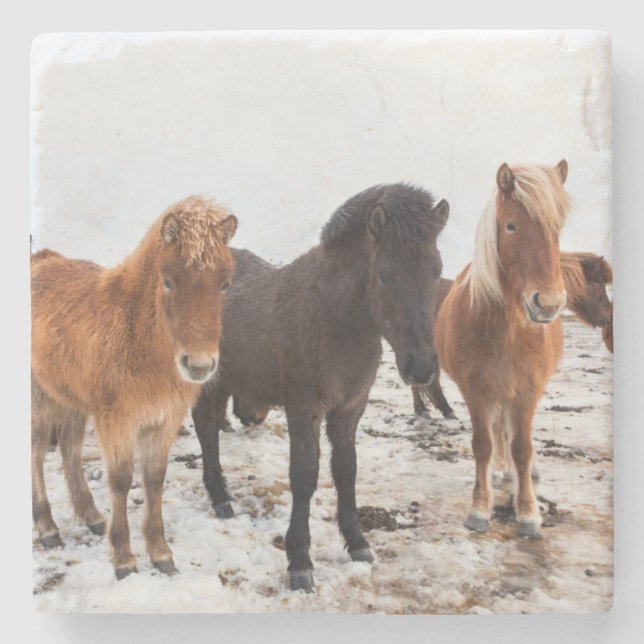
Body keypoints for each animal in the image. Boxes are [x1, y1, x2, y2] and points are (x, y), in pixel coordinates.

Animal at [31, 196, 237, 579]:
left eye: (225, 284)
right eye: (168, 281)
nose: (199, 365)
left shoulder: (164, 419)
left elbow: (153, 478)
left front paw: (160, 552)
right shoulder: (118, 421)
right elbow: (121, 480)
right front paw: (124, 558)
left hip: (73, 400)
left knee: (68, 447)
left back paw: (91, 516)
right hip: (42, 398)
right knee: (37, 452)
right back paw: (48, 527)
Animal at [192, 184, 449, 592]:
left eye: (437, 271)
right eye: (384, 275)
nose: (421, 366)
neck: (333, 317)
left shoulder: (350, 408)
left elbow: (346, 469)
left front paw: (357, 542)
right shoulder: (304, 406)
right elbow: (305, 474)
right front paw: (299, 560)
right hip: (209, 381)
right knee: (205, 429)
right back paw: (220, 498)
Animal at [434, 161, 570, 539]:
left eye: (557, 227)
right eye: (511, 225)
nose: (548, 303)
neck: (508, 332)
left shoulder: (526, 392)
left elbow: (522, 449)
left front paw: (528, 513)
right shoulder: (477, 391)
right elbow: (483, 445)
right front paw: (480, 509)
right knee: (497, 434)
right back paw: (499, 472)